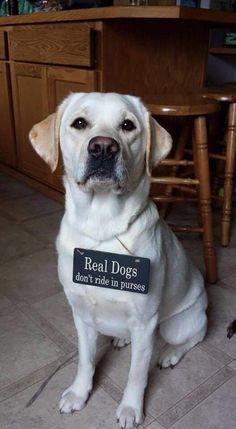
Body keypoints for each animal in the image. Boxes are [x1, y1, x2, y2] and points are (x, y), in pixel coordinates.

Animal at [29, 93, 206, 428]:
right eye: (79, 123)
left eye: (127, 125)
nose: (103, 147)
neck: (103, 232)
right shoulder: (81, 314)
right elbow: (85, 360)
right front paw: (78, 393)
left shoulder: (145, 323)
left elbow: (136, 374)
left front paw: (130, 409)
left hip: (176, 325)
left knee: (195, 336)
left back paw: (171, 354)